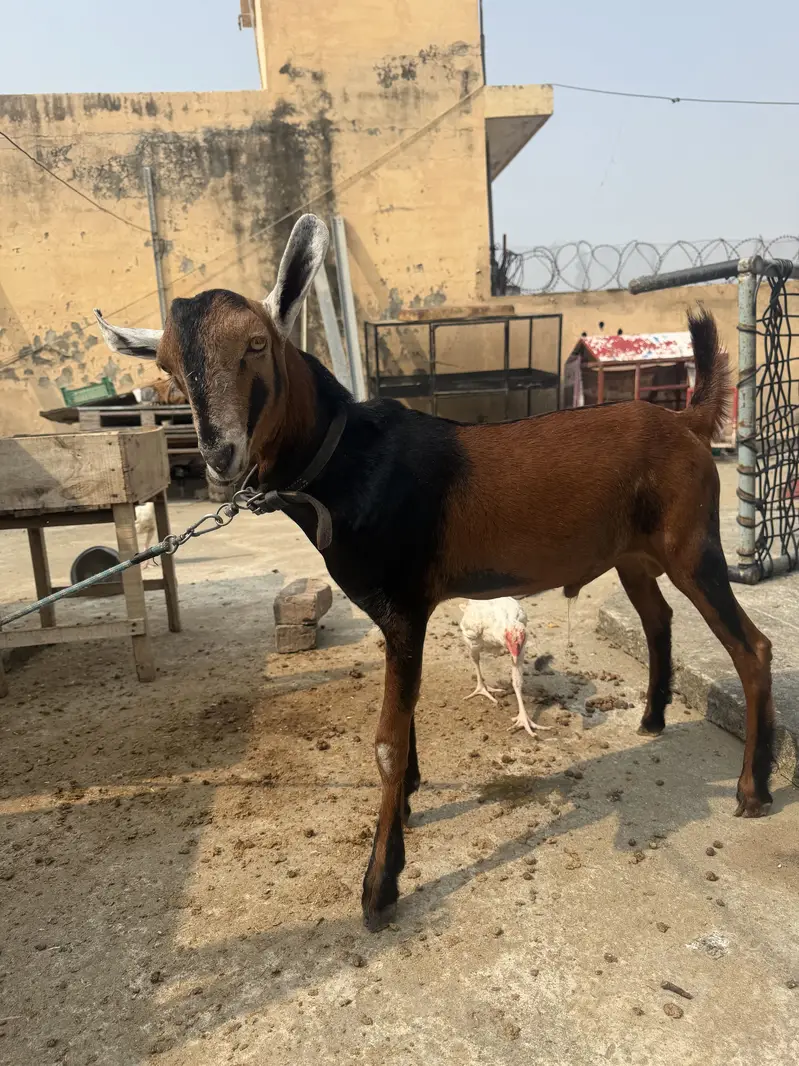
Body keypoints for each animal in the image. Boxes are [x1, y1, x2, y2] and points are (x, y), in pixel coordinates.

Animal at [94, 214, 775, 932]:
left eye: (256, 343)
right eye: (167, 369)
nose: (220, 454)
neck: (351, 461)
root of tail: (684, 422)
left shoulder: (403, 605)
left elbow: (386, 743)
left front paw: (379, 885)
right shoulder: (397, 613)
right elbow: (405, 721)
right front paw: (410, 806)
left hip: (691, 544)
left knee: (750, 647)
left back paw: (752, 789)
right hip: (634, 555)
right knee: (658, 617)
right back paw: (650, 720)